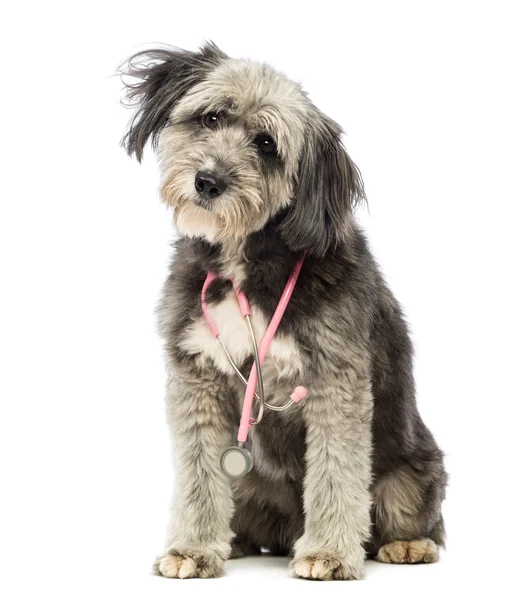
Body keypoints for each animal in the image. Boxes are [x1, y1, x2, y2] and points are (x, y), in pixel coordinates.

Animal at [121, 43, 446, 580]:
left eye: (267, 144)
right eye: (212, 116)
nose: (207, 181)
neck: (245, 265)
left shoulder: (336, 379)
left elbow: (336, 470)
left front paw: (330, 553)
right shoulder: (195, 376)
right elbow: (198, 471)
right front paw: (194, 547)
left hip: (410, 475)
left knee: (417, 516)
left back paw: (407, 544)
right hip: (248, 483)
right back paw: (233, 541)